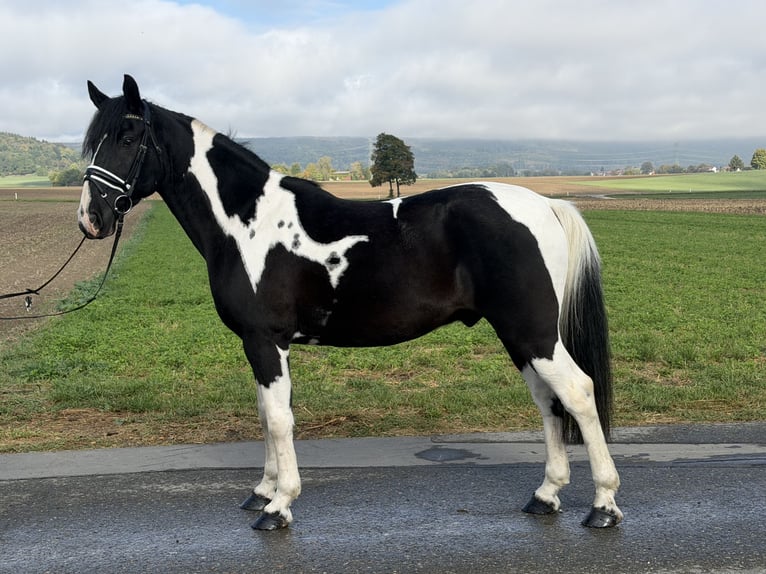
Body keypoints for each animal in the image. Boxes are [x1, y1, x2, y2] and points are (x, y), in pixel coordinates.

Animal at [78, 75, 622, 530]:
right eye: (93, 141)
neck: (248, 223)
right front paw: (263, 490)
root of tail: (546, 205)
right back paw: (546, 496)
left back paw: (602, 506)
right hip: (519, 334)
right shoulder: (261, 346)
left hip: (533, 331)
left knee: (577, 392)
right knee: (548, 400)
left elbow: (279, 419)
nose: (92, 218)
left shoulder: (266, 341)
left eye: (128, 138)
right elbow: (266, 414)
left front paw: (279, 506)